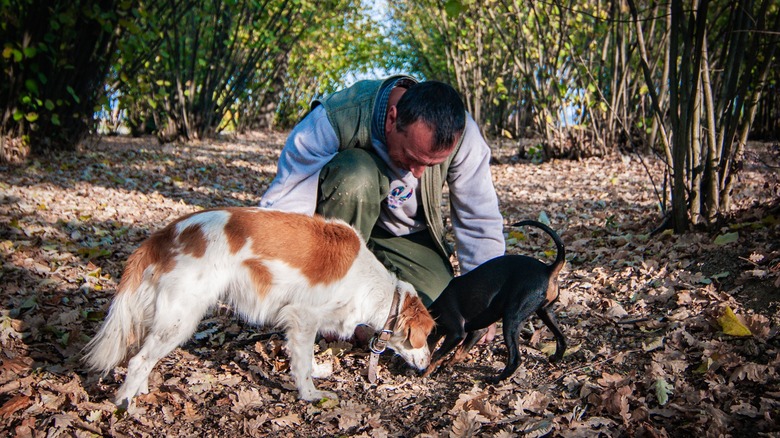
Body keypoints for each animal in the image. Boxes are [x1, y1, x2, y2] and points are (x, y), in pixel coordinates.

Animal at [87, 207, 436, 406]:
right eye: (426, 338)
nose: (428, 364)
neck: (371, 284)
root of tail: (165, 233)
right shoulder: (303, 318)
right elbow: (303, 365)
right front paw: (310, 395)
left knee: (141, 357)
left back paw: (140, 390)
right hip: (181, 318)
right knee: (138, 360)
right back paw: (125, 404)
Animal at [424, 221, 564, 382]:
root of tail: (549, 269)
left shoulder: (456, 332)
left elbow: (437, 355)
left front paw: (425, 372)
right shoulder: (477, 331)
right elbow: (460, 352)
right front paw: (445, 366)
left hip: (511, 319)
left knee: (515, 359)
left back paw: (495, 379)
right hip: (545, 311)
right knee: (562, 339)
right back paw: (555, 358)